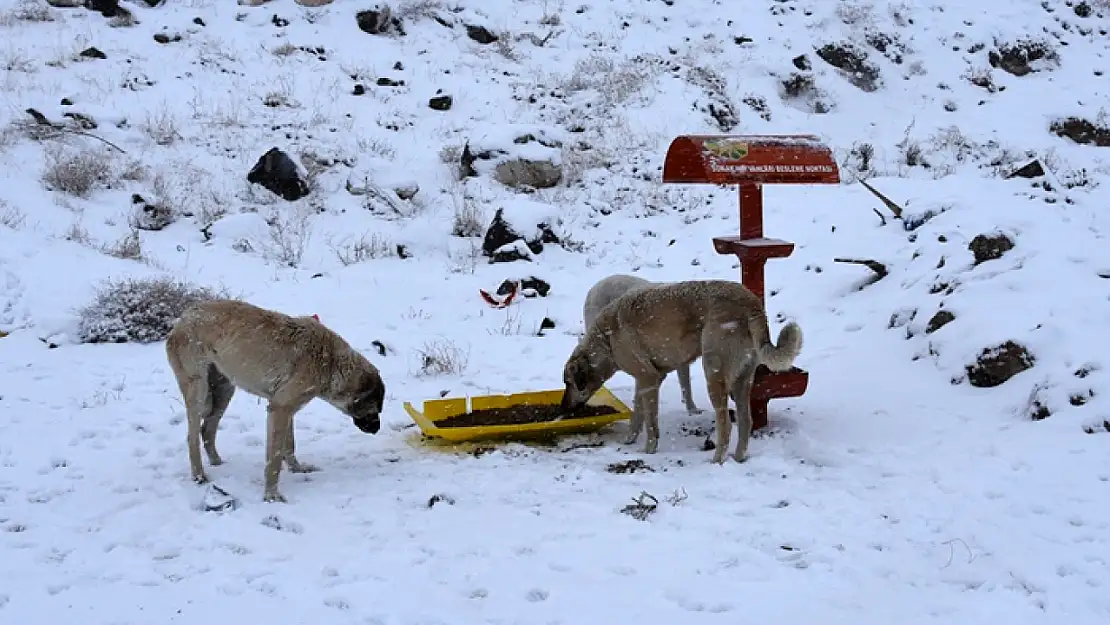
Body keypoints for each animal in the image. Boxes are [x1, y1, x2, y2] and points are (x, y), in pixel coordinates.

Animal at [164, 297, 388, 503]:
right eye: (375, 408)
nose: (377, 429)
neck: (330, 363)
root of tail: (181, 319)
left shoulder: (288, 411)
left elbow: (289, 446)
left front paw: (297, 469)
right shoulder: (280, 409)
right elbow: (275, 459)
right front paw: (271, 495)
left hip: (224, 390)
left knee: (207, 430)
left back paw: (217, 463)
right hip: (199, 390)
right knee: (192, 436)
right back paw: (199, 475)